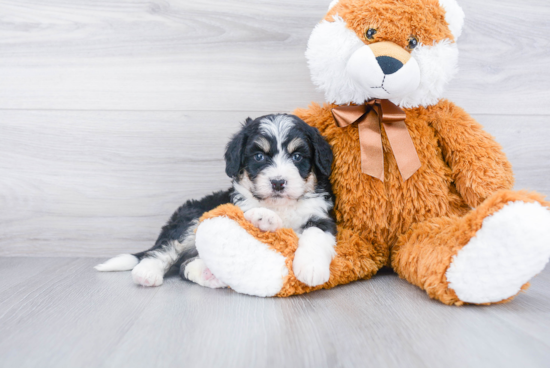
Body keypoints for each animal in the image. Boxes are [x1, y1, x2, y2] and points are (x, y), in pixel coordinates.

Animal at [95, 113, 338, 288]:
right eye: (259, 156)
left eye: (297, 156)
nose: (278, 182)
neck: (281, 206)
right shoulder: (237, 206)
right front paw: (264, 218)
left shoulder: (321, 215)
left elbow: (316, 234)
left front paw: (312, 268)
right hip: (191, 216)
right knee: (166, 249)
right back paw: (147, 272)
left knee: (184, 265)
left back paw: (208, 273)